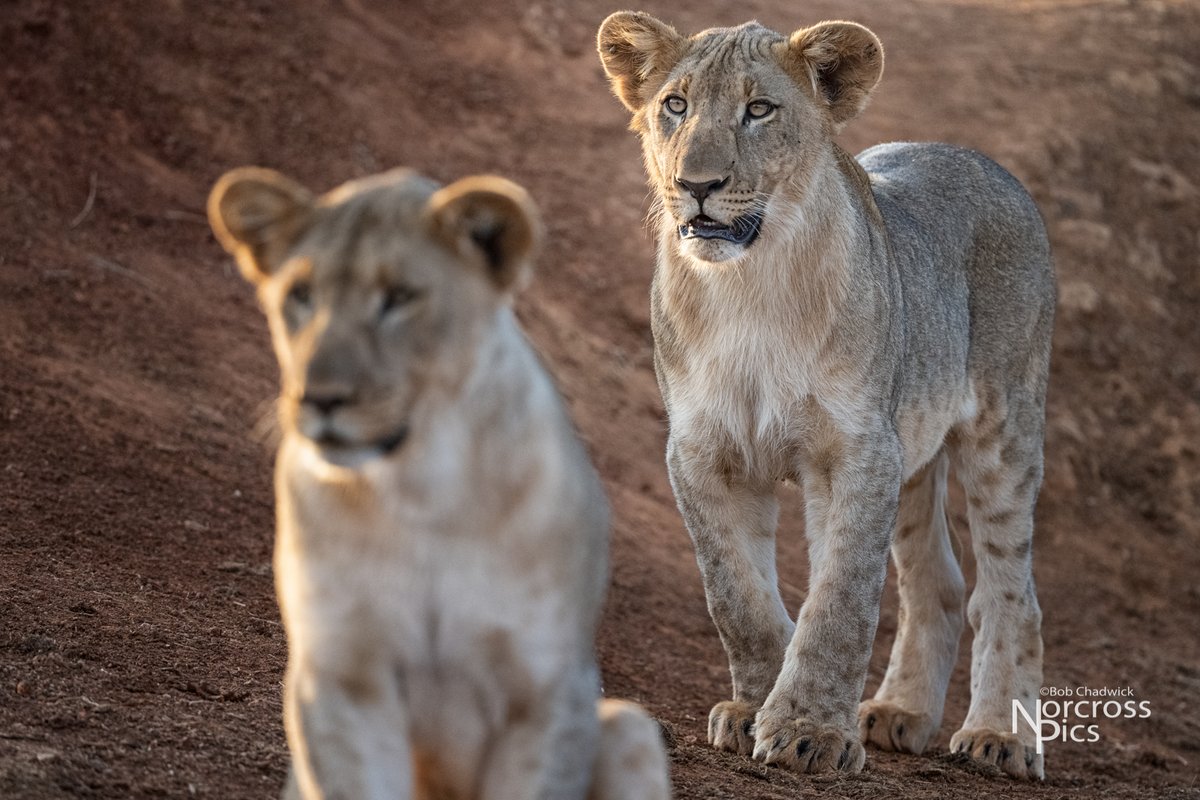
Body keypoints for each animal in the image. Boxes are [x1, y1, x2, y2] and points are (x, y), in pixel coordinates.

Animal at [207, 166, 672, 800]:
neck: (420, 492)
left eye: (400, 297)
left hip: (628, 726)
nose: (319, 398)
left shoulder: (547, 692)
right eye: (300, 295)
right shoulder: (342, 678)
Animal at [598, 12, 1054, 780]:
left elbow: (839, 600)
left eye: (759, 110)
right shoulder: (701, 452)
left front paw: (809, 728)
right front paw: (753, 708)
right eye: (676, 105)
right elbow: (737, 596)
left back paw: (1001, 736)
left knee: (1009, 594)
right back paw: (897, 714)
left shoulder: (856, 451)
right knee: (938, 582)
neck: (747, 288)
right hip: (913, 451)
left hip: (1003, 431)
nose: (696, 184)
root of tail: (978, 159)